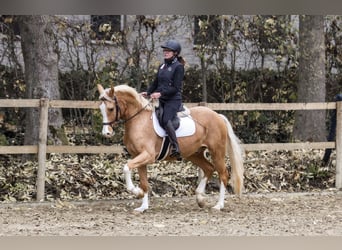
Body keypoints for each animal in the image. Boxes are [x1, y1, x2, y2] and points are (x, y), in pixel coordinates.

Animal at [97, 83, 244, 211]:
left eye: (111, 109)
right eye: (101, 109)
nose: (106, 133)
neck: (139, 120)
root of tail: (217, 115)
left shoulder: (147, 156)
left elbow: (126, 167)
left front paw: (137, 192)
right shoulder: (138, 157)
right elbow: (144, 183)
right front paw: (143, 207)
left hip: (216, 152)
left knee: (223, 174)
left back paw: (218, 205)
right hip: (194, 154)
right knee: (209, 168)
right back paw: (200, 198)